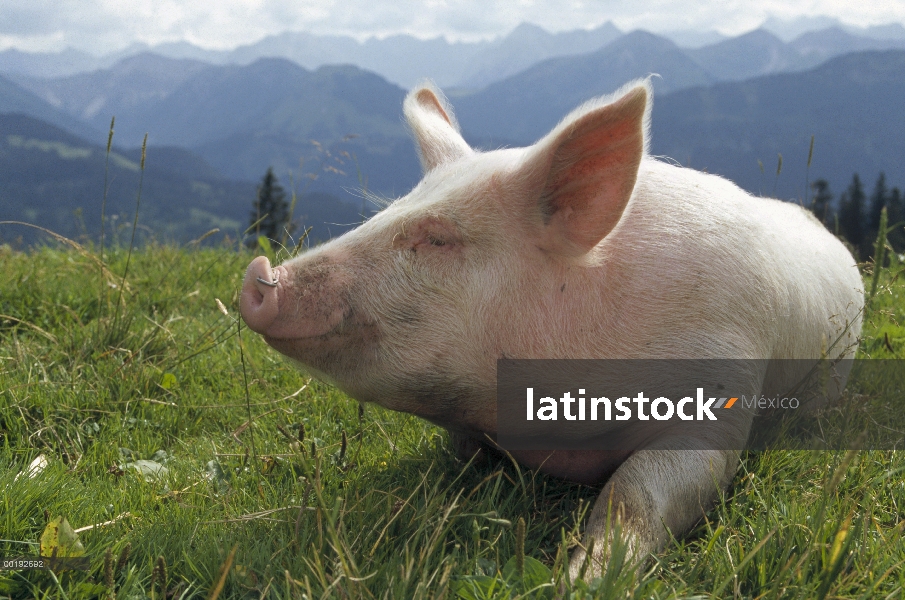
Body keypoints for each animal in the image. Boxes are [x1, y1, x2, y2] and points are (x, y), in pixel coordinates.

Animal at [238, 81, 860, 580]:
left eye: (438, 237)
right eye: (386, 211)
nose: (261, 276)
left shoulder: (720, 399)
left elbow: (635, 494)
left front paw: (580, 580)